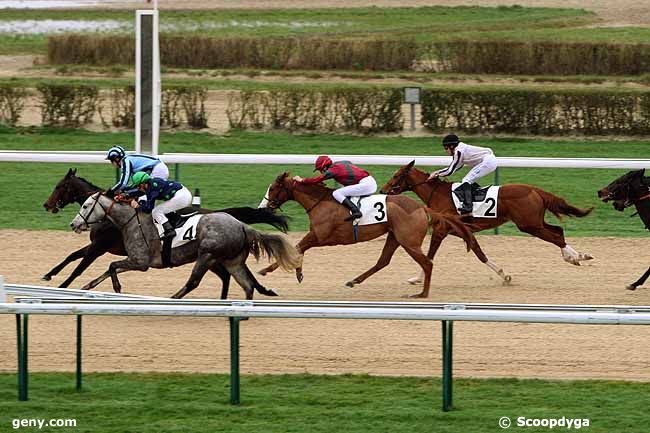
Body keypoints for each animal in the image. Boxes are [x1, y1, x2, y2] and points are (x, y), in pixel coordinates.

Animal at [43, 169, 288, 296]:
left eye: (59, 187)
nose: (74, 224)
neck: (125, 220)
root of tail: (240, 224)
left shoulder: (115, 252)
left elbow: (89, 266)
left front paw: (64, 286)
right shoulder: (122, 255)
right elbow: (80, 259)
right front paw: (58, 277)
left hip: (208, 255)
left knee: (196, 282)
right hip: (226, 259)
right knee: (241, 281)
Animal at [256, 172, 474, 296]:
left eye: (273, 188)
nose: (262, 207)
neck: (320, 202)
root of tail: (421, 207)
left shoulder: (319, 236)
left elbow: (297, 248)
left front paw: (268, 270)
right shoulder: (317, 237)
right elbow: (299, 249)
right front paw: (297, 272)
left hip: (409, 242)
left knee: (427, 263)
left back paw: (422, 294)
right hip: (394, 236)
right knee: (383, 261)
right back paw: (354, 280)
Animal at [378, 162, 596, 280]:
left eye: (396, 175)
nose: (383, 190)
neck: (439, 195)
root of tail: (535, 190)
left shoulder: (441, 230)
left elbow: (430, 256)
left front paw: (416, 279)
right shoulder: (462, 231)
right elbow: (479, 252)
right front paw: (503, 274)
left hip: (529, 225)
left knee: (555, 237)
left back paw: (577, 256)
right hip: (535, 222)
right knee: (558, 230)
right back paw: (574, 257)